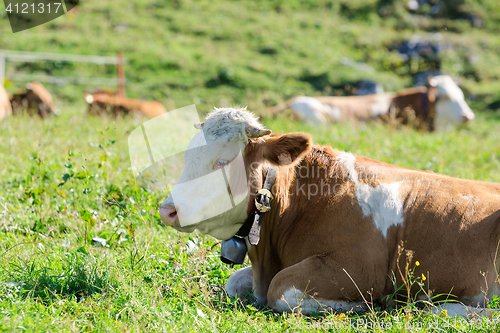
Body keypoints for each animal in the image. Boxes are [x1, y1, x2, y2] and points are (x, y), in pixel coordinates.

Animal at [159, 107, 500, 316]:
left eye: (223, 161)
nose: (167, 211)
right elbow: (234, 282)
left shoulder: (357, 270)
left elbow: (281, 289)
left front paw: (363, 305)